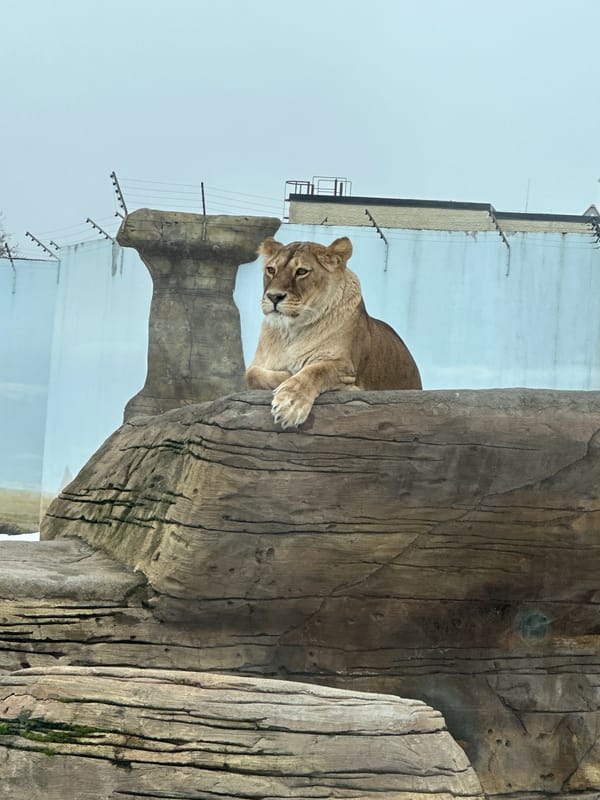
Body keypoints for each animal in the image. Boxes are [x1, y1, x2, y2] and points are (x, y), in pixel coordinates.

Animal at [245, 236, 422, 429]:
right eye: (271, 269)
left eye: (301, 271)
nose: (273, 297)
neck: (291, 331)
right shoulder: (258, 363)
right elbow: (250, 374)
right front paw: (286, 376)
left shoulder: (345, 366)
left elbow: (315, 371)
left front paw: (290, 404)